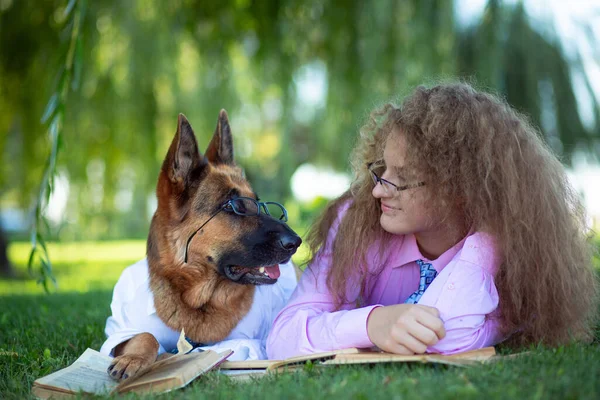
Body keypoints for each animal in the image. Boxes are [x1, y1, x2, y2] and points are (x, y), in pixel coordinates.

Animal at [106, 111, 302, 380]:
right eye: (234, 206)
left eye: (258, 203)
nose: (296, 242)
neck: (197, 299)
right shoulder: (119, 331)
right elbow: (144, 335)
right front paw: (133, 358)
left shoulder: (249, 341)